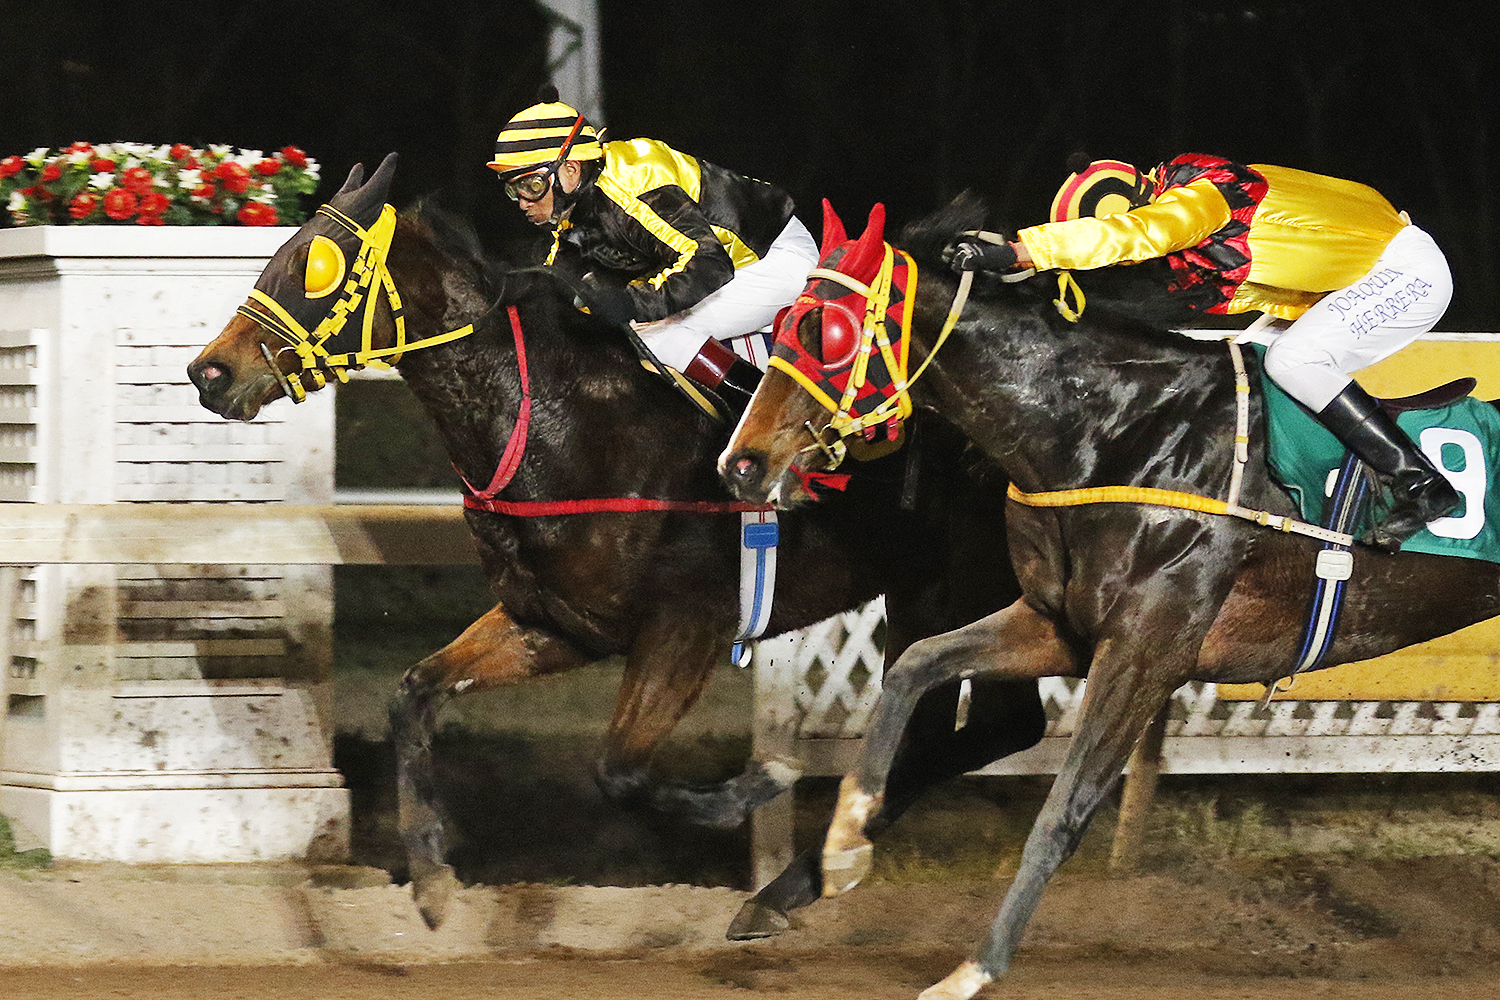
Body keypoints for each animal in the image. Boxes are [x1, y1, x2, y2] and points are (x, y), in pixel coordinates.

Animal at [185, 154, 1048, 935]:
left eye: (314, 267)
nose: (208, 372)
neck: (562, 419)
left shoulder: (687, 625)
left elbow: (621, 769)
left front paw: (759, 783)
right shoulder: (556, 622)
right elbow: (413, 694)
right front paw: (430, 878)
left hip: (971, 579)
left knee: (986, 727)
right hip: (928, 586)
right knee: (981, 728)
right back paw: (786, 890)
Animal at [719, 196, 1500, 999]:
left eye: (826, 331)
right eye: (781, 323)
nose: (740, 464)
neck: (1118, 432)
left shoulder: (1147, 650)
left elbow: (1063, 812)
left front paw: (973, 968)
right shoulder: (1060, 624)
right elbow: (914, 666)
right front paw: (843, 845)